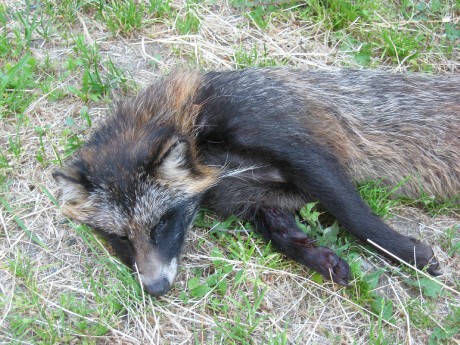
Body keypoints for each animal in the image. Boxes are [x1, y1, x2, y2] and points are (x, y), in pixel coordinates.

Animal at [54, 68, 460, 294]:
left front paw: (409, 253)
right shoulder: (259, 199)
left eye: (162, 224)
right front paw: (323, 260)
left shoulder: (300, 151)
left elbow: (357, 218)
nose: (156, 289)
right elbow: (285, 237)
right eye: (119, 238)